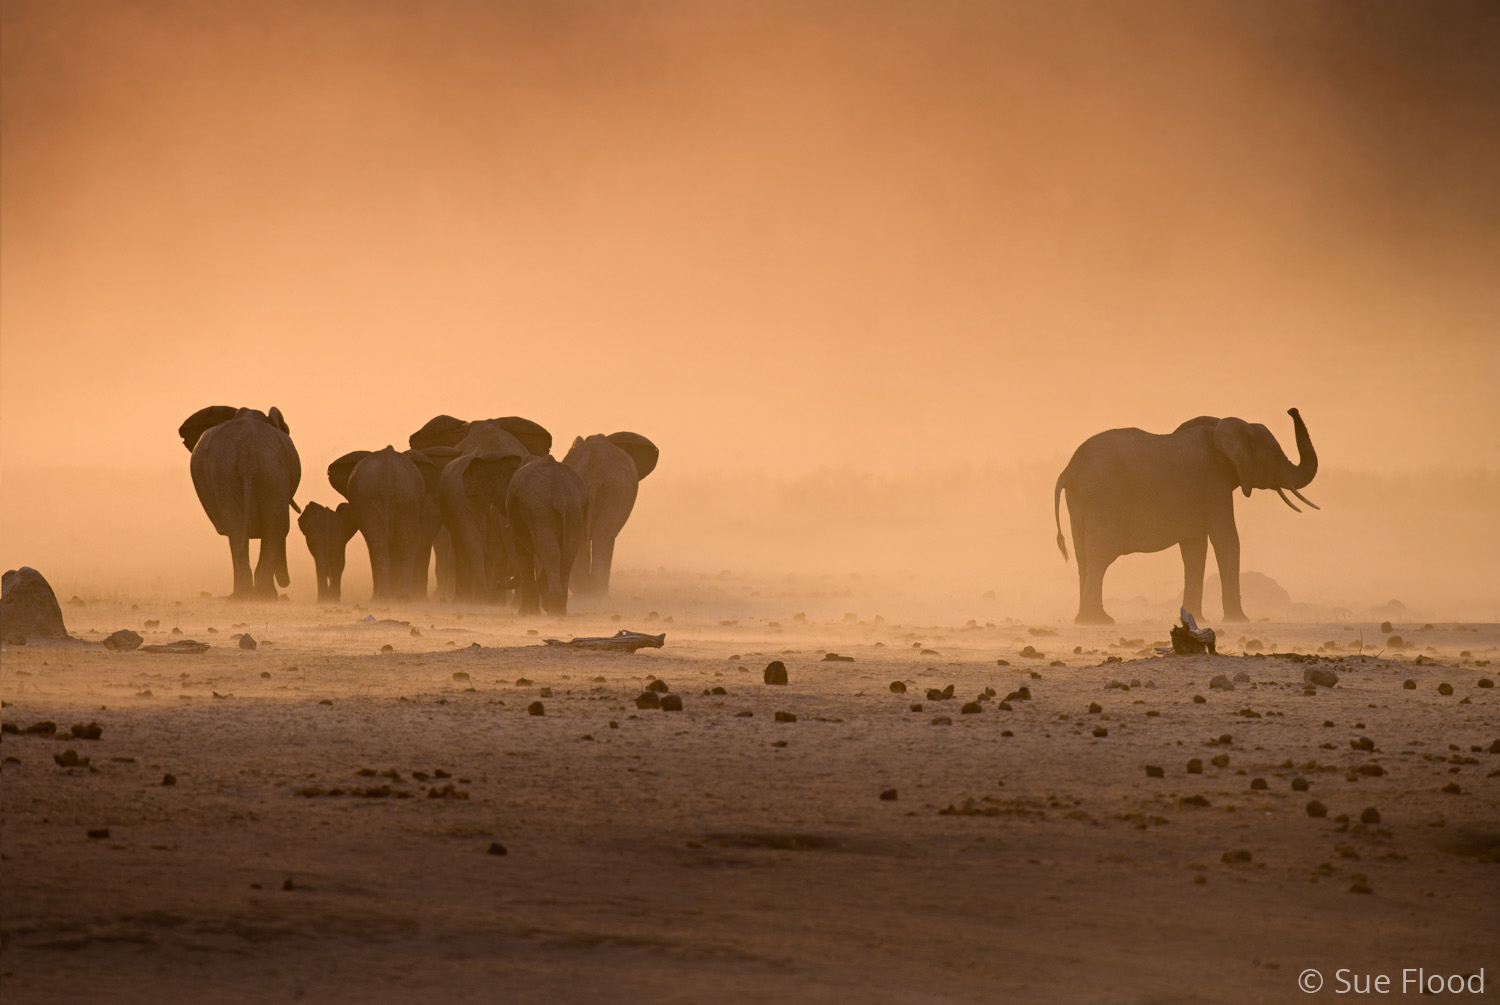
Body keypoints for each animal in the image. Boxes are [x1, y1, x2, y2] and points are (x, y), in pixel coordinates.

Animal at [178, 405, 301, 603]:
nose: (285, 582)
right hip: (250, 472)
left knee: (251, 527)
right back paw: (256, 596)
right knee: (268, 527)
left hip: (253, 471)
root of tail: (247, 448)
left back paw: (255, 596)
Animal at [510, 456, 591, 615]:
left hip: (542, 510)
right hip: (574, 509)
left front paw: (526, 612)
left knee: (550, 553)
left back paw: (554, 603)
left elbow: (522, 553)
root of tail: (558, 489)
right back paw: (558, 607)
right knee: (567, 554)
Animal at [1050, 408, 1320, 627]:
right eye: (1275, 457)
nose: (1292, 410)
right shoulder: (1215, 482)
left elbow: (1194, 548)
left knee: (1083, 558)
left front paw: (1197, 619)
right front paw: (1239, 620)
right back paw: (1097, 621)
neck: (1221, 428)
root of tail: (1068, 470)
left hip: (1080, 502)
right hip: (1103, 499)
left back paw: (1087, 620)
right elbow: (1226, 539)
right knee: (1100, 558)